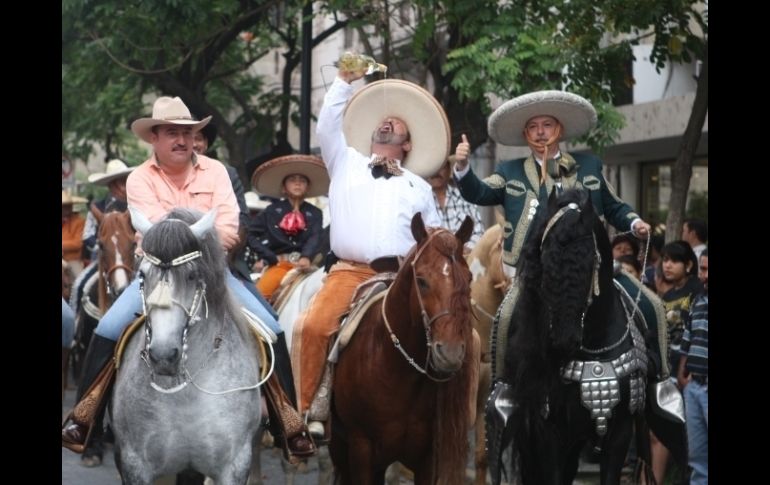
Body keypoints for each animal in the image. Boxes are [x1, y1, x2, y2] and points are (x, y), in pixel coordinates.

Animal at [109, 208, 262, 484]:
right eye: (142, 274)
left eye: (192, 275)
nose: (163, 355)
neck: (186, 395)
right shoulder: (134, 464)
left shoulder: (234, 465)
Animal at [492, 190, 656, 484]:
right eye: (545, 259)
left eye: (589, 261)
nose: (563, 340)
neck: (595, 346)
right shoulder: (551, 432)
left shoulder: (620, 432)